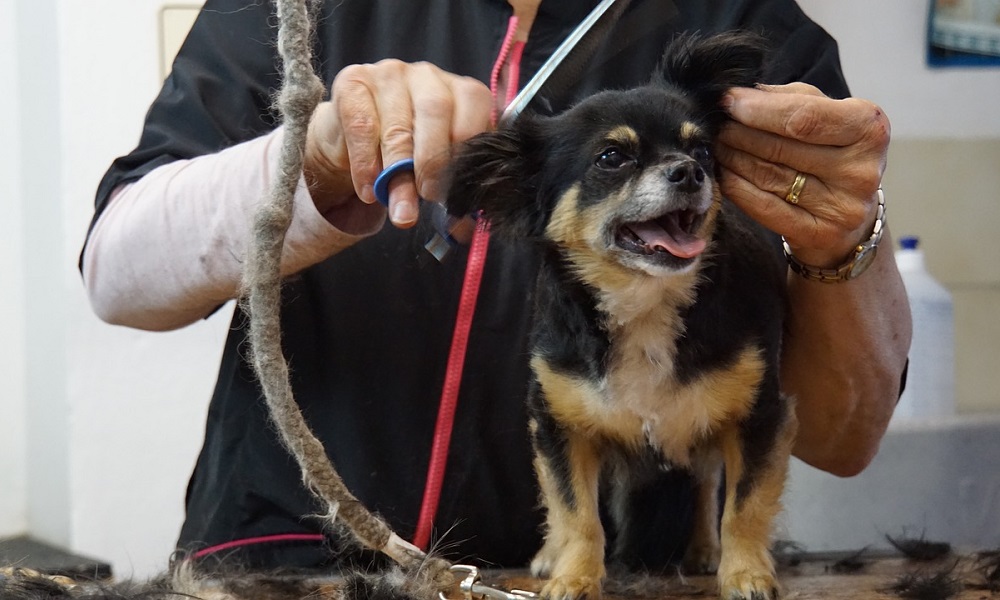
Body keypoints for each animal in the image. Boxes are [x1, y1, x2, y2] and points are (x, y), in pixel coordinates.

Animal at [450, 31, 800, 600]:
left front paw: (746, 573)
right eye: (612, 157)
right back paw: (551, 555)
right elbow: (577, 514)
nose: (689, 171)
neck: (644, 301)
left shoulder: (759, 416)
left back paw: (705, 550)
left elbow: (743, 508)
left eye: (703, 150)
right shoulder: (559, 425)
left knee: (705, 482)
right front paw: (573, 577)